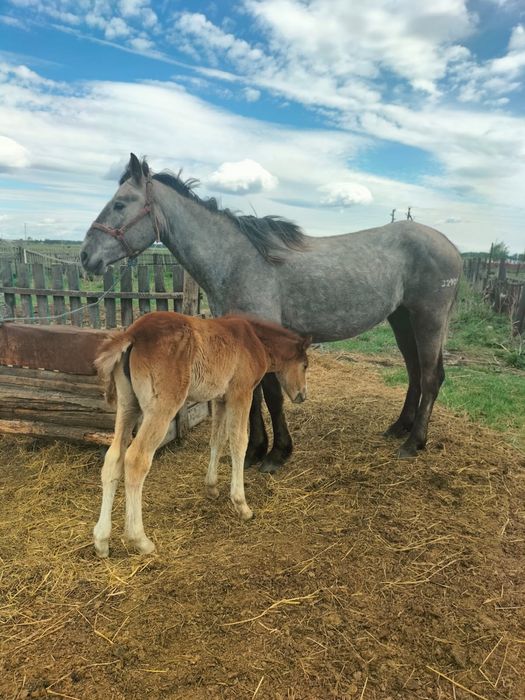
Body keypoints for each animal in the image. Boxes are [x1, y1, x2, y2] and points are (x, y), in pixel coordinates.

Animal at [81, 153, 462, 469]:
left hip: (427, 319)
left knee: (431, 377)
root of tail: (451, 246)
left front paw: (277, 454)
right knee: (415, 374)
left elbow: (272, 397)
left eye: (120, 203)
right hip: (402, 319)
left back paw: (413, 443)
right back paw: (400, 428)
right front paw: (254, 452)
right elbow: (252, 400)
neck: (237, 260)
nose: (86, 255)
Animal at [93, 311, 311, 557]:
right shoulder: (240, 393)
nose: (302, 395)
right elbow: (239, 442)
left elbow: (217, 440)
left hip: (127, 406)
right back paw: (140, 540)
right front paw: (242, 505)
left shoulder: (220, 398)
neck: (254, 339)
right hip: (161, 407)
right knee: (136, 459)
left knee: (113, 458)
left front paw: (212, 487)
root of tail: (133, 334)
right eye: (305, 365)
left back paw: (101, 541)